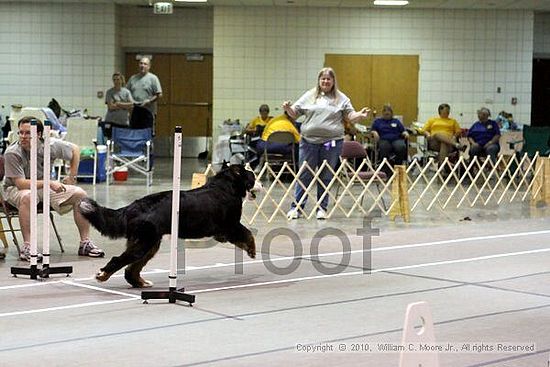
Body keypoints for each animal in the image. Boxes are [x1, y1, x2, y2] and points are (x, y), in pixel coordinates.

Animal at [78, 165, 262, 288]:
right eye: (252, 176)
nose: (261, 184)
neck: (227, 187)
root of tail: (133, 206)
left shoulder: (225, 231)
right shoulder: (230, 226)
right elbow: (248, 234)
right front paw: (252, 250)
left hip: (149, 243)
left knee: (131, 269)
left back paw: (141, 283)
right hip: (145, 242)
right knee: (120, 260)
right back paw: (103, 275)